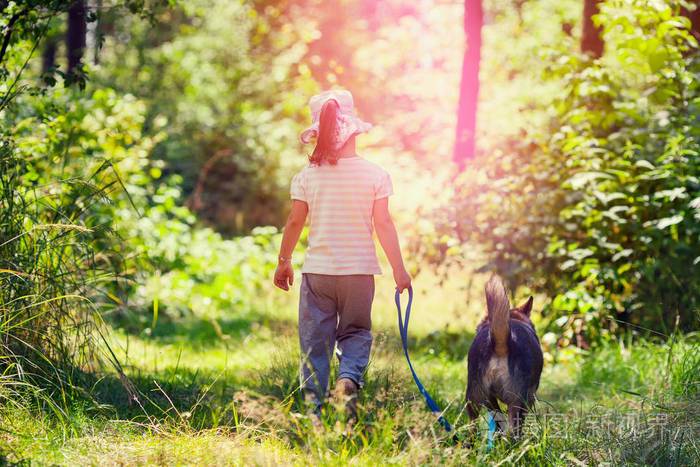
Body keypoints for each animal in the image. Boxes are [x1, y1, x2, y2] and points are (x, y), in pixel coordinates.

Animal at [468, 274, 544, 438]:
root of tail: (501, 343)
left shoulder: (490, 400)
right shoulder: (529, 398)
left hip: (473, 399)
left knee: (473, 428)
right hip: (517, 401)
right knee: (514, 430)